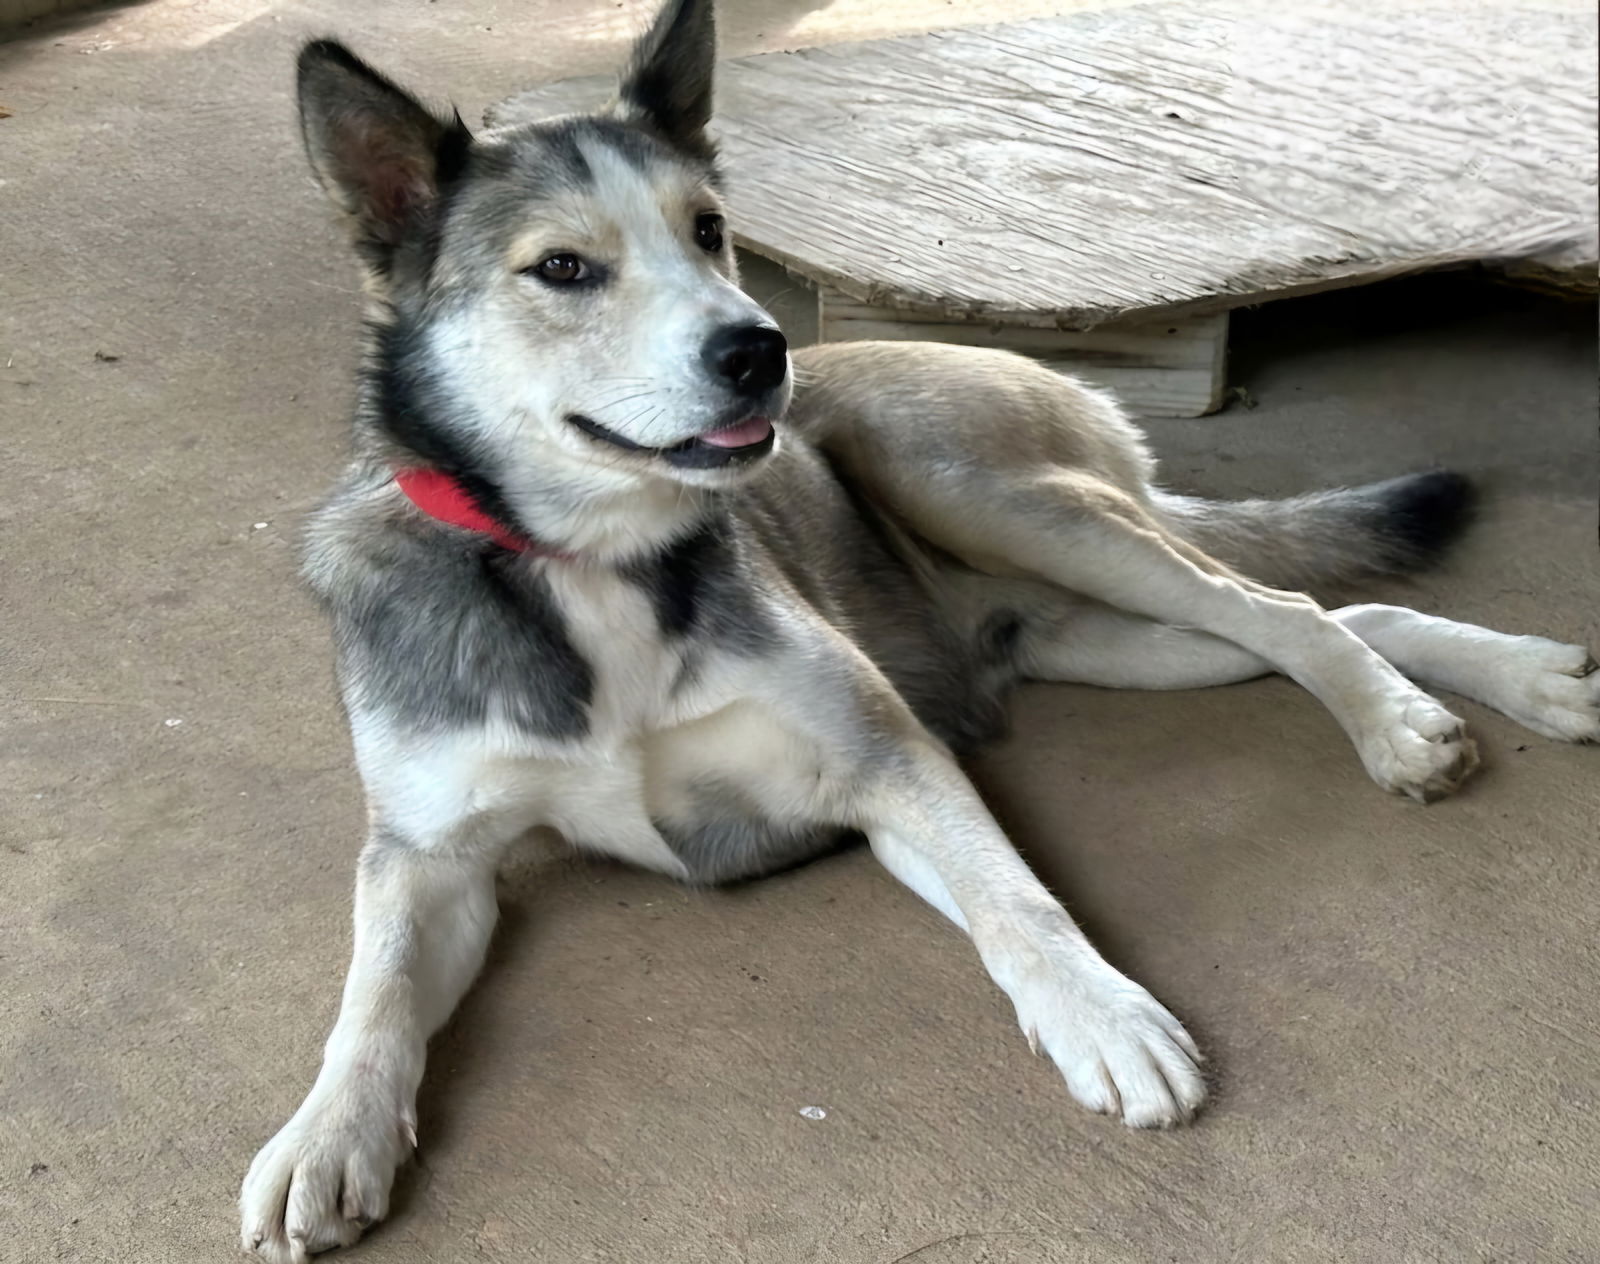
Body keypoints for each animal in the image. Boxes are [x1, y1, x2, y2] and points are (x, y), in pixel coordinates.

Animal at [236, 4, 1600, 1260]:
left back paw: (1416, 717)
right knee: (1323, 610)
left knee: (1287, 606)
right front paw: (326, 1131)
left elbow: (1016, 902)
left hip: (995, 496)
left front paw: (1105, 1017)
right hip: (1088, 628)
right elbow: (374, 988)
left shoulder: (880, 755)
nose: (759, 350)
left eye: (708, 229)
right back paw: (1506, 685)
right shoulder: (426, 855)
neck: (591, 558)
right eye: (563, 269)